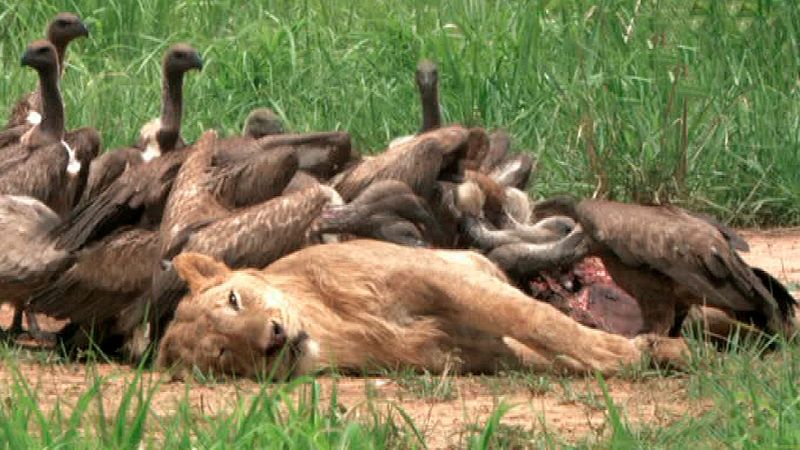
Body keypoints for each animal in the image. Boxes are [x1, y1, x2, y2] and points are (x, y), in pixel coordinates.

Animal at [156, 239, 688, 380]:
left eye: (234, 299)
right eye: (224, 355)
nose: (272, 340)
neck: (338, 329)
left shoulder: (438, 274)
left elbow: (537, 319)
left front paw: (622, 355)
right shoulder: (483, 354)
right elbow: (545, 350)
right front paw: (631, 355)